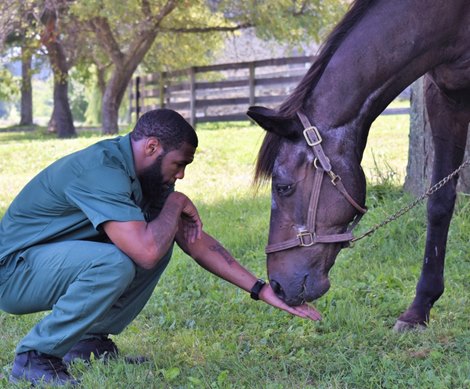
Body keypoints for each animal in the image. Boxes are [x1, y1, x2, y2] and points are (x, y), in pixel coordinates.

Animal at [246, 0, 470, 330]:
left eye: (283, 186)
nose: (276, 285)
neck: (451, 19)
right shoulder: (445, 97)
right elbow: (439, 203)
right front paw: (419, 308)